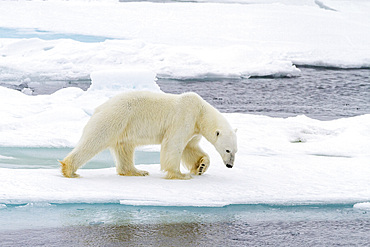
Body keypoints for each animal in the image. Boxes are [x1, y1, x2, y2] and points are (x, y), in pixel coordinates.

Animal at [57, 90, 237, 179]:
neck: (200, 112)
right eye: (227, 150)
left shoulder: (194, 128)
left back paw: (137, 171)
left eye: (235, 151)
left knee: (125, 148)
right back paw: (69, 170)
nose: (230, 165)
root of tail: (100, 107)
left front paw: (201, 166)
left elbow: (190, 147)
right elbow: (174, 145)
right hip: (116, 118)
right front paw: (181, 174)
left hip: (124, 127)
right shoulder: (183, 118)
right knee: (94, 140)